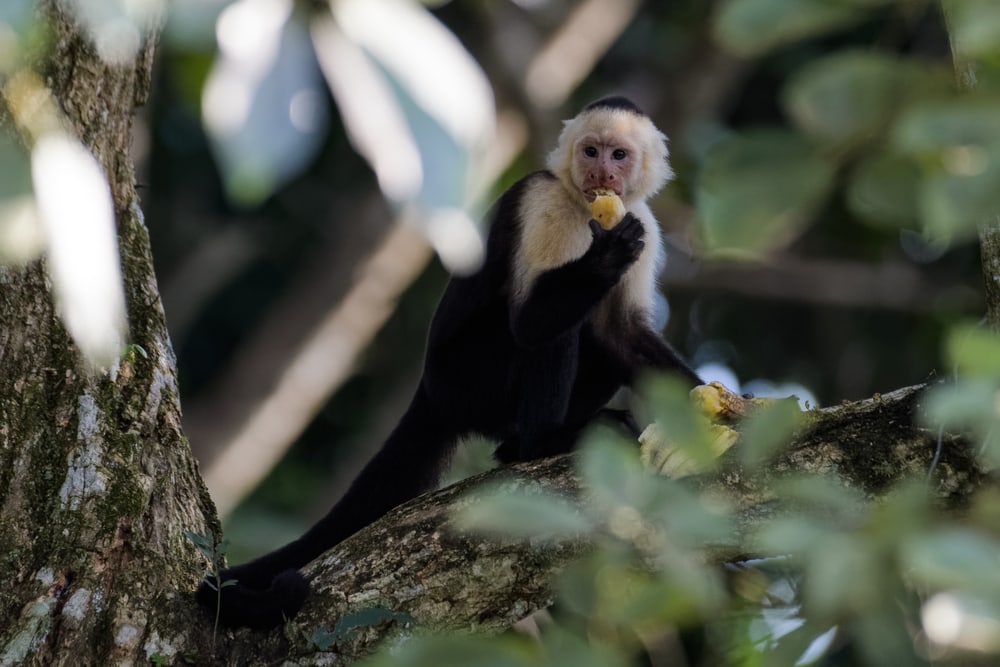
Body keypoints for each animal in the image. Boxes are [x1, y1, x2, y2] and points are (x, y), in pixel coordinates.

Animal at [195, 96, 703, 630]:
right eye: (591, 150)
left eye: (618, 155)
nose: (601, 172)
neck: (587, 207)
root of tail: (429, 388)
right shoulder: (548, 203)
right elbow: (530, 323)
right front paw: (606, 258)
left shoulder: (644, 221)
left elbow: (622, 334)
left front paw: (712, 408)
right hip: (467, 379)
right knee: (551, 332)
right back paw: (543, 442)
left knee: (599, 343)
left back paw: (519, 447)